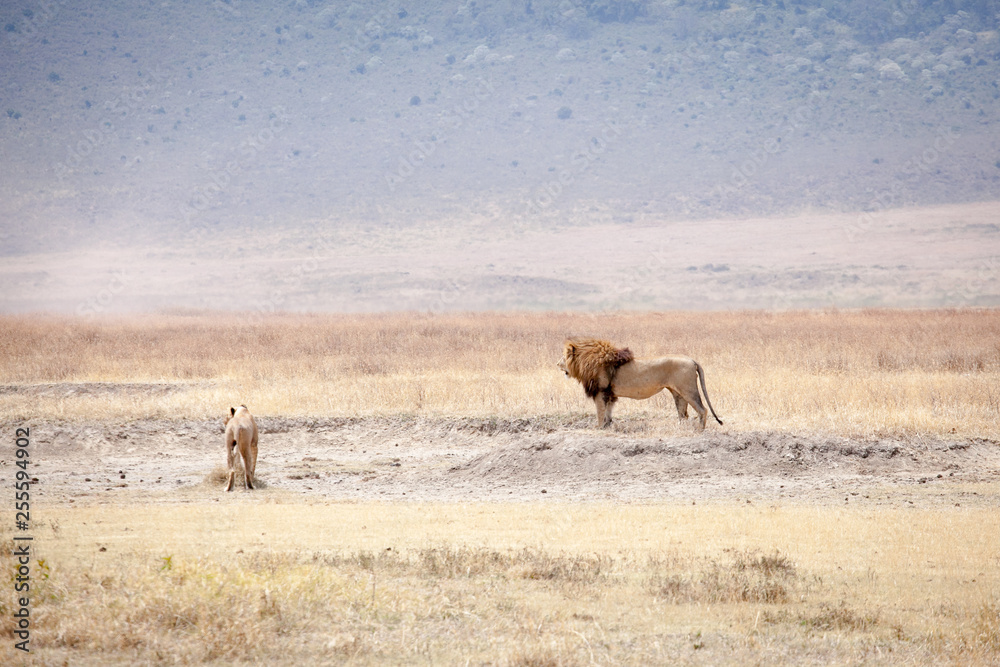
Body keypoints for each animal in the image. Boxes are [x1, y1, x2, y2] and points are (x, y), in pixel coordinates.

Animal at [560, 336, 724, 430]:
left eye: (563, 357)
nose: (557, 364)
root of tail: (692, 359)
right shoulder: (610, 394)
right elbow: (608, 412)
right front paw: (607, 426)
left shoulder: (601, 391)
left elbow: (600, 411)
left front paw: (598, 427)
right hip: (677, 393)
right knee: (683, 414)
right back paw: (681, 429)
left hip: (688, 389)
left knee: (702, 410)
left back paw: (699, 430)